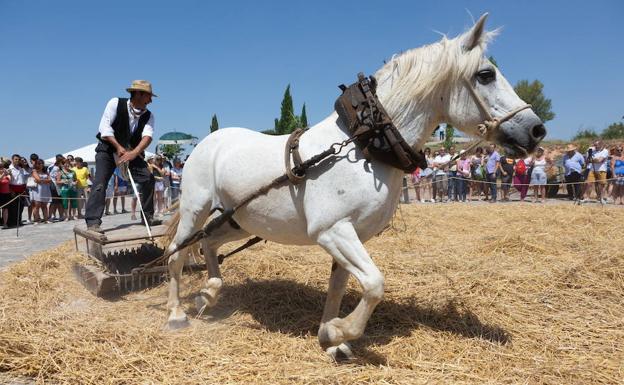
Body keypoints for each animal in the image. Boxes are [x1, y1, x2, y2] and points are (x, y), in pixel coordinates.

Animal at [165, 13, 544, 358]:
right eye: (486, 75)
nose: (536, 129)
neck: (365, 146)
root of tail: (208, 141)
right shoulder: (333, 230)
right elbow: (375, 284)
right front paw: (338, 331)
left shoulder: (352, 234)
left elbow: (339, 286)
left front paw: (331, 338)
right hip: (196, 210)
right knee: (177, 253)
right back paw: (175, 314)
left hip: (239, 220)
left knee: (209, 245)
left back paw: (208, 293)